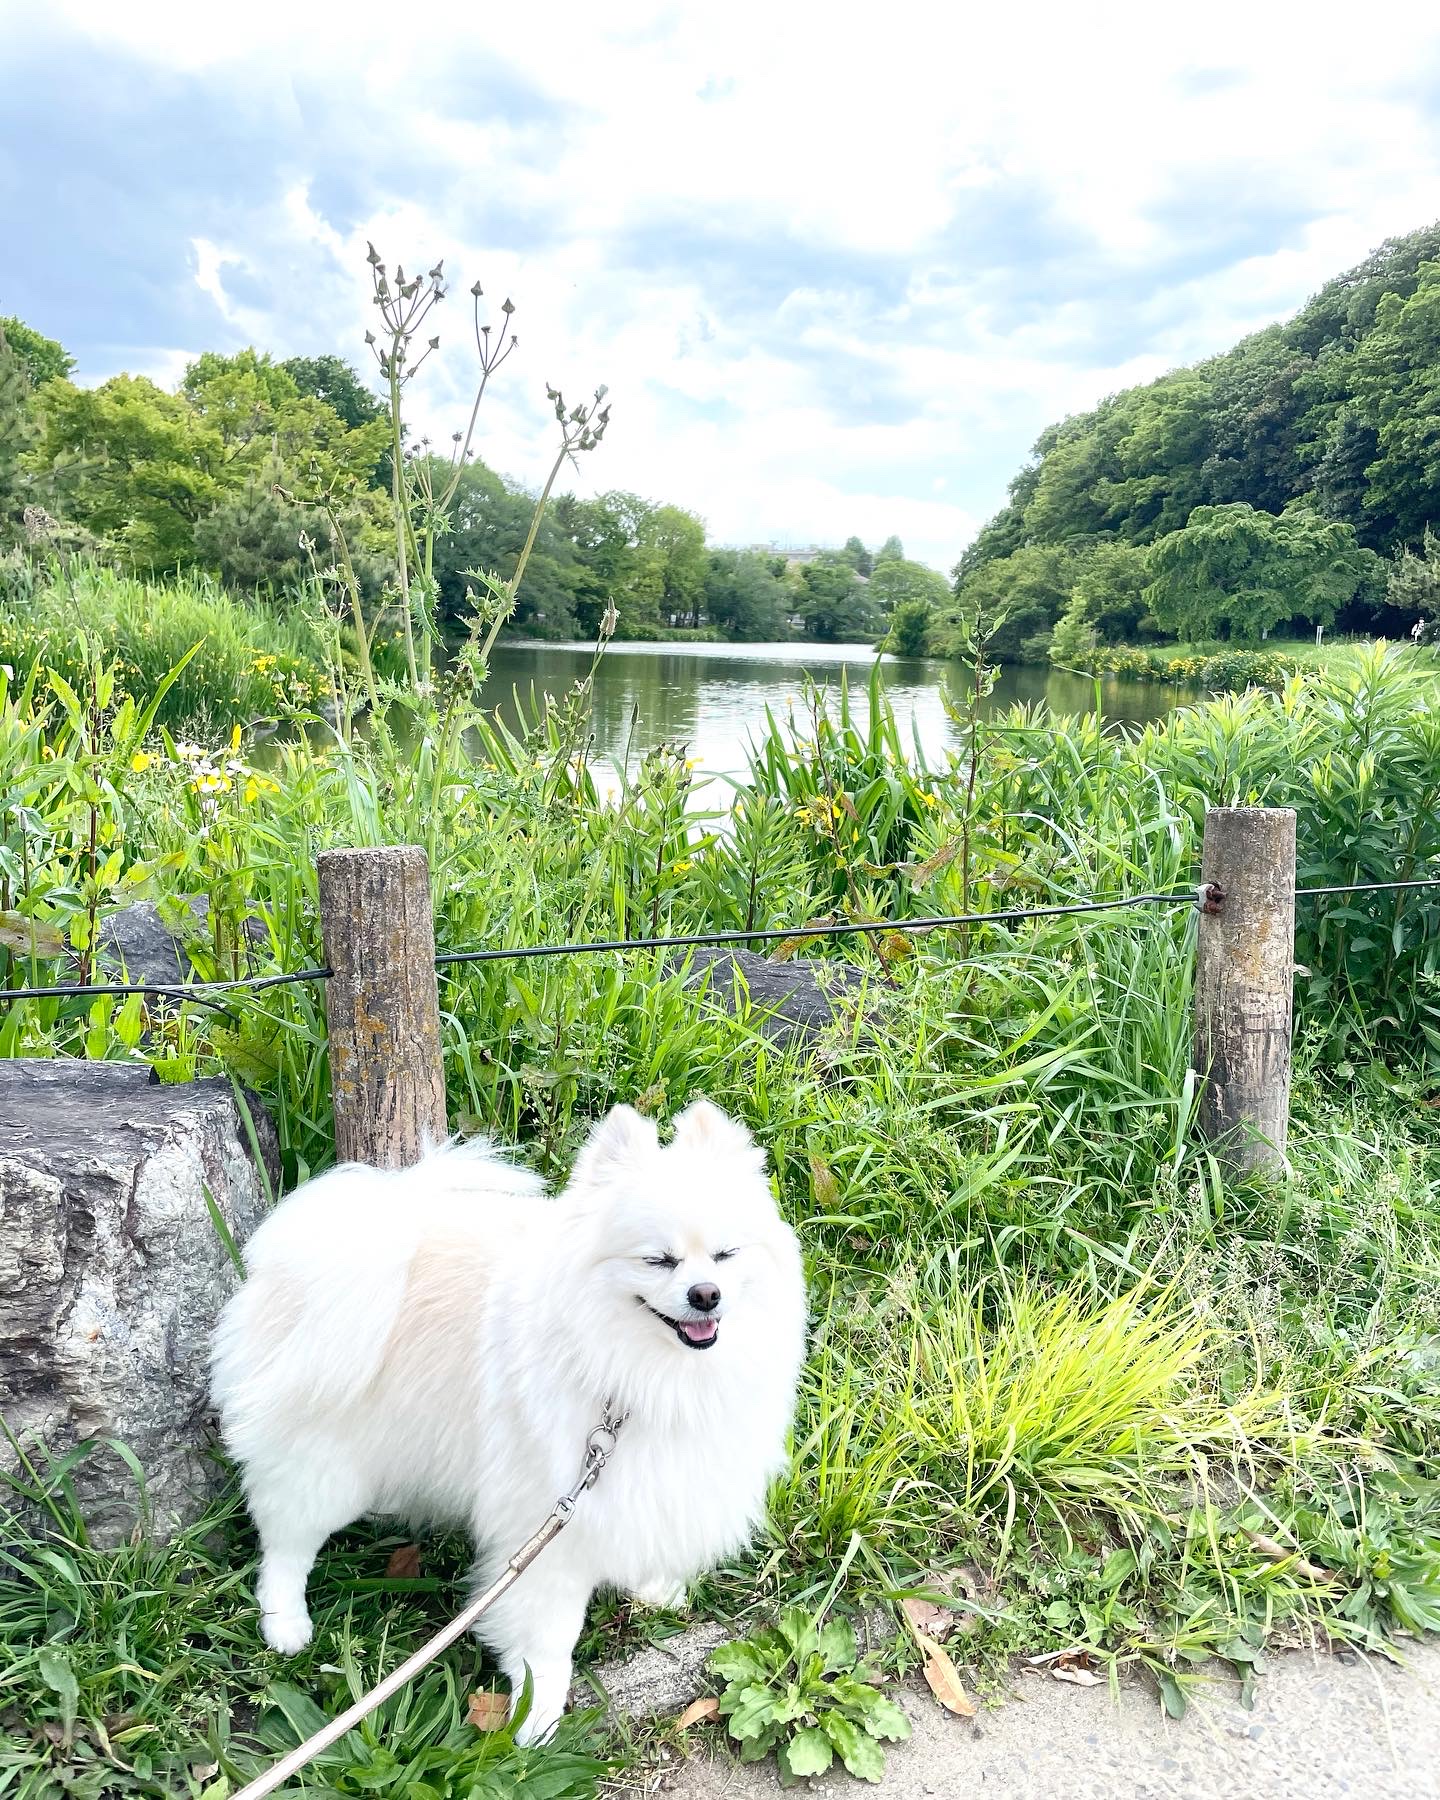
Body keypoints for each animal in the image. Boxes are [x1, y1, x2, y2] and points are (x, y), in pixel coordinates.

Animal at [207, 1094, 802, 1742]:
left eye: (725, 1254)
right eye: (658, 1260)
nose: (705, 1293)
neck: (640, 1375)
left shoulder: (646, 1488)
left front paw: (653, 1586)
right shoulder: (545, 1530)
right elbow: (548, 1641)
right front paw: (537, 1717)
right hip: (325, 1463)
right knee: (285, 1541)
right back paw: (284, 1623)